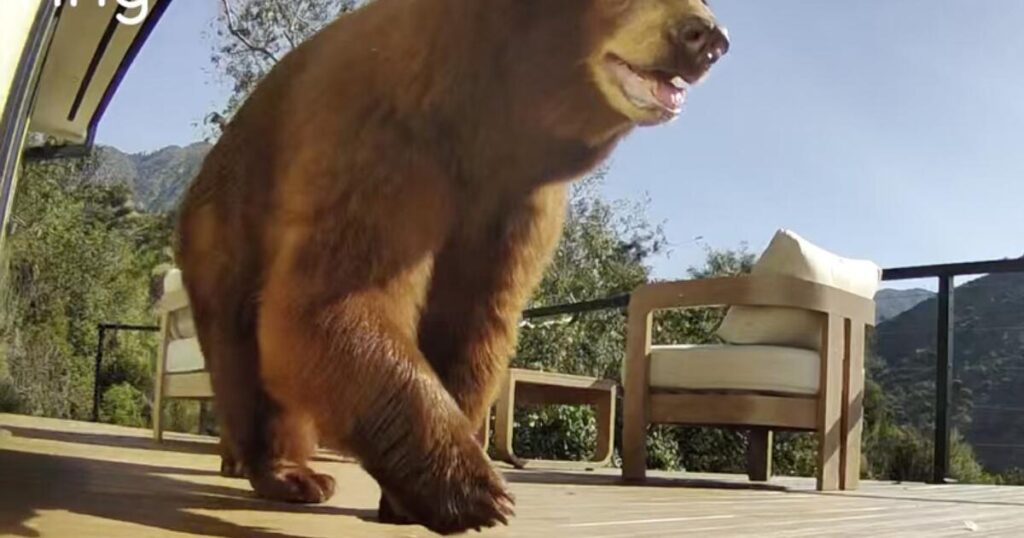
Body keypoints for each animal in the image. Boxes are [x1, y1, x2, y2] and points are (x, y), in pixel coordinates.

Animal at [174, 0, 728, 534]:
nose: (706, 39)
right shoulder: (385, 140)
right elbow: (331, 300)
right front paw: (475, 491)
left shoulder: (518, 201)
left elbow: (473, 323)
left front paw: (407, 499)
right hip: (233, 220)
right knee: (244, 343)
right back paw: (290, 474)